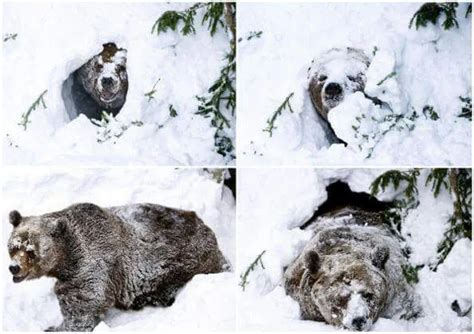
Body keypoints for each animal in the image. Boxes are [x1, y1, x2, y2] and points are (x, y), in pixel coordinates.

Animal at [6, 204, 229, 332]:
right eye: (13, 246)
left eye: (31, 251)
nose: (14, 268)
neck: (66, 259)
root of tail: (208, 229)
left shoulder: (91, 267)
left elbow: (83, 306)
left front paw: (56, 327)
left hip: (184, 260)